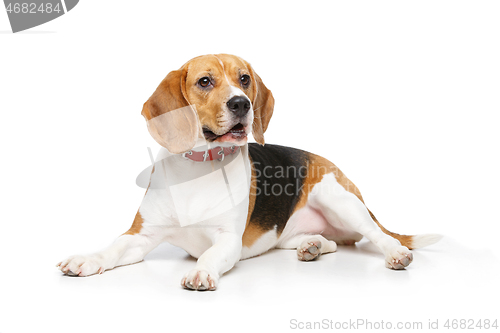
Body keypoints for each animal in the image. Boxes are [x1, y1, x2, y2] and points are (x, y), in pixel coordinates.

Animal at [59, 53, 442, 290]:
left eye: (244, 79)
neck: (199, 167)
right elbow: (111, 249)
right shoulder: (140, 236)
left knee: (377, 235)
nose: (241, 103)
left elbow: (210, 254)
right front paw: (86, 259)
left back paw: (395, 253)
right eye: (204, 82)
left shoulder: (227, 240)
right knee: (332, 242)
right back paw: (313, 246)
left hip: (338, 199)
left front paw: (200, 271)